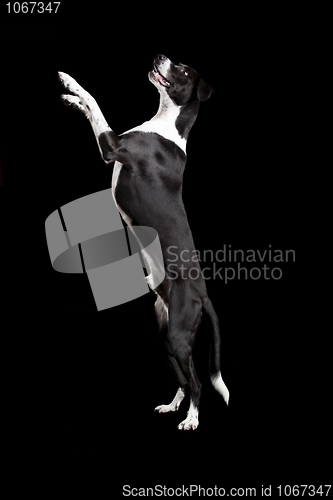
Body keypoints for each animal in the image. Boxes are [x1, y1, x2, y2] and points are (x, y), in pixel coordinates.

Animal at [57, 53, 228, 430]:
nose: (160, 56)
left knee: (197, 381)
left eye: (182, 70)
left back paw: (191, 419)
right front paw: (69, 97)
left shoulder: (113, 146)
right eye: (175, 61)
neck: (167, 124)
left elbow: (95, 101)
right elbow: (89, 107)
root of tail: (203, 296)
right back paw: (173, 405)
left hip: (178, 335)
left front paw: (71, 82)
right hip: (161, 337)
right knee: (182, 378)